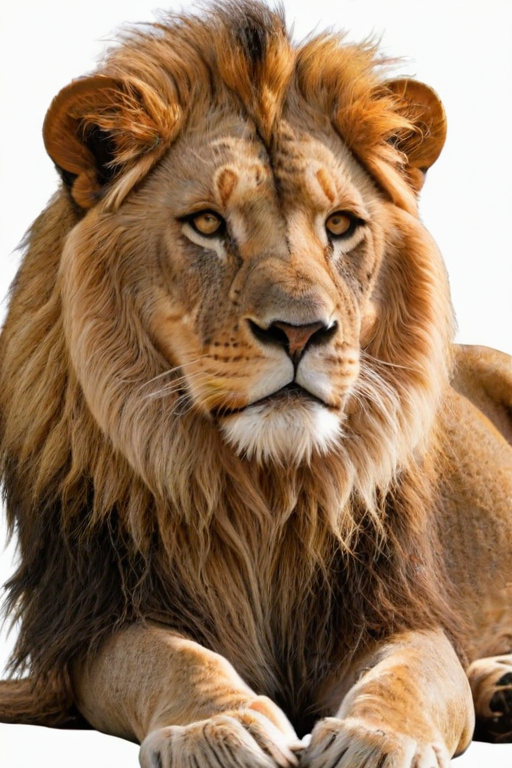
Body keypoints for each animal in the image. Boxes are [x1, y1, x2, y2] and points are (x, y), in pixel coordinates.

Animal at [1, 2, 512, 767]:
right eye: (208, 223)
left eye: (341, 225)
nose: (301, 332)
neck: (265, 491)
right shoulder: (103, 616)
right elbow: (171, 658)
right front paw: (221, 725)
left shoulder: (395, 609)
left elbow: (411, 675)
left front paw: (375, 740)